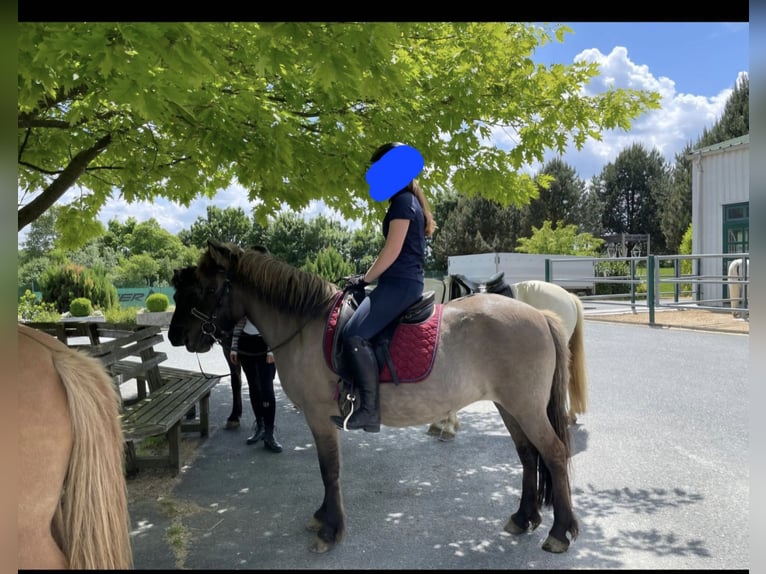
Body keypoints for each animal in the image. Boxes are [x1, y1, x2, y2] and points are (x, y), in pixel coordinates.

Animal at [166, 242, 576, 560]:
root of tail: (539, 314)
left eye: (203, 288)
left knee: (554, 454)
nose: (175, 336)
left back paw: (560, 532)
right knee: (528, 454)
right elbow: (326, 470)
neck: (305, 326)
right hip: (510, 407)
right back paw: (524, 518)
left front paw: (330, 531)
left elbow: (329, 470)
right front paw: (323, 518)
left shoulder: (320, 417)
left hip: (525, 407)